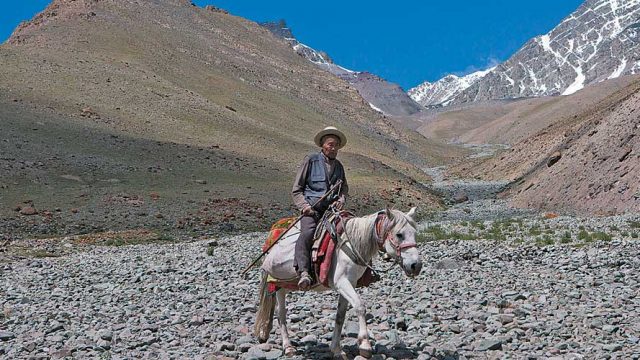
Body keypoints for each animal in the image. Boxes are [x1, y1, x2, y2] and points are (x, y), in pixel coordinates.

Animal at [252, 207, 422, 358]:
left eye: (415, 234)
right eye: (399, 234)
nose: (416, 265)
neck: (350, 245)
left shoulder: (348, 285)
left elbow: (340, 316)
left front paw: (336, 350)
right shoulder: (342, 283)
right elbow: (360, 306)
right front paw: (365, 345)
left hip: (286, 286)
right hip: (278, 287)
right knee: (281, 314)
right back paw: (288, 348)